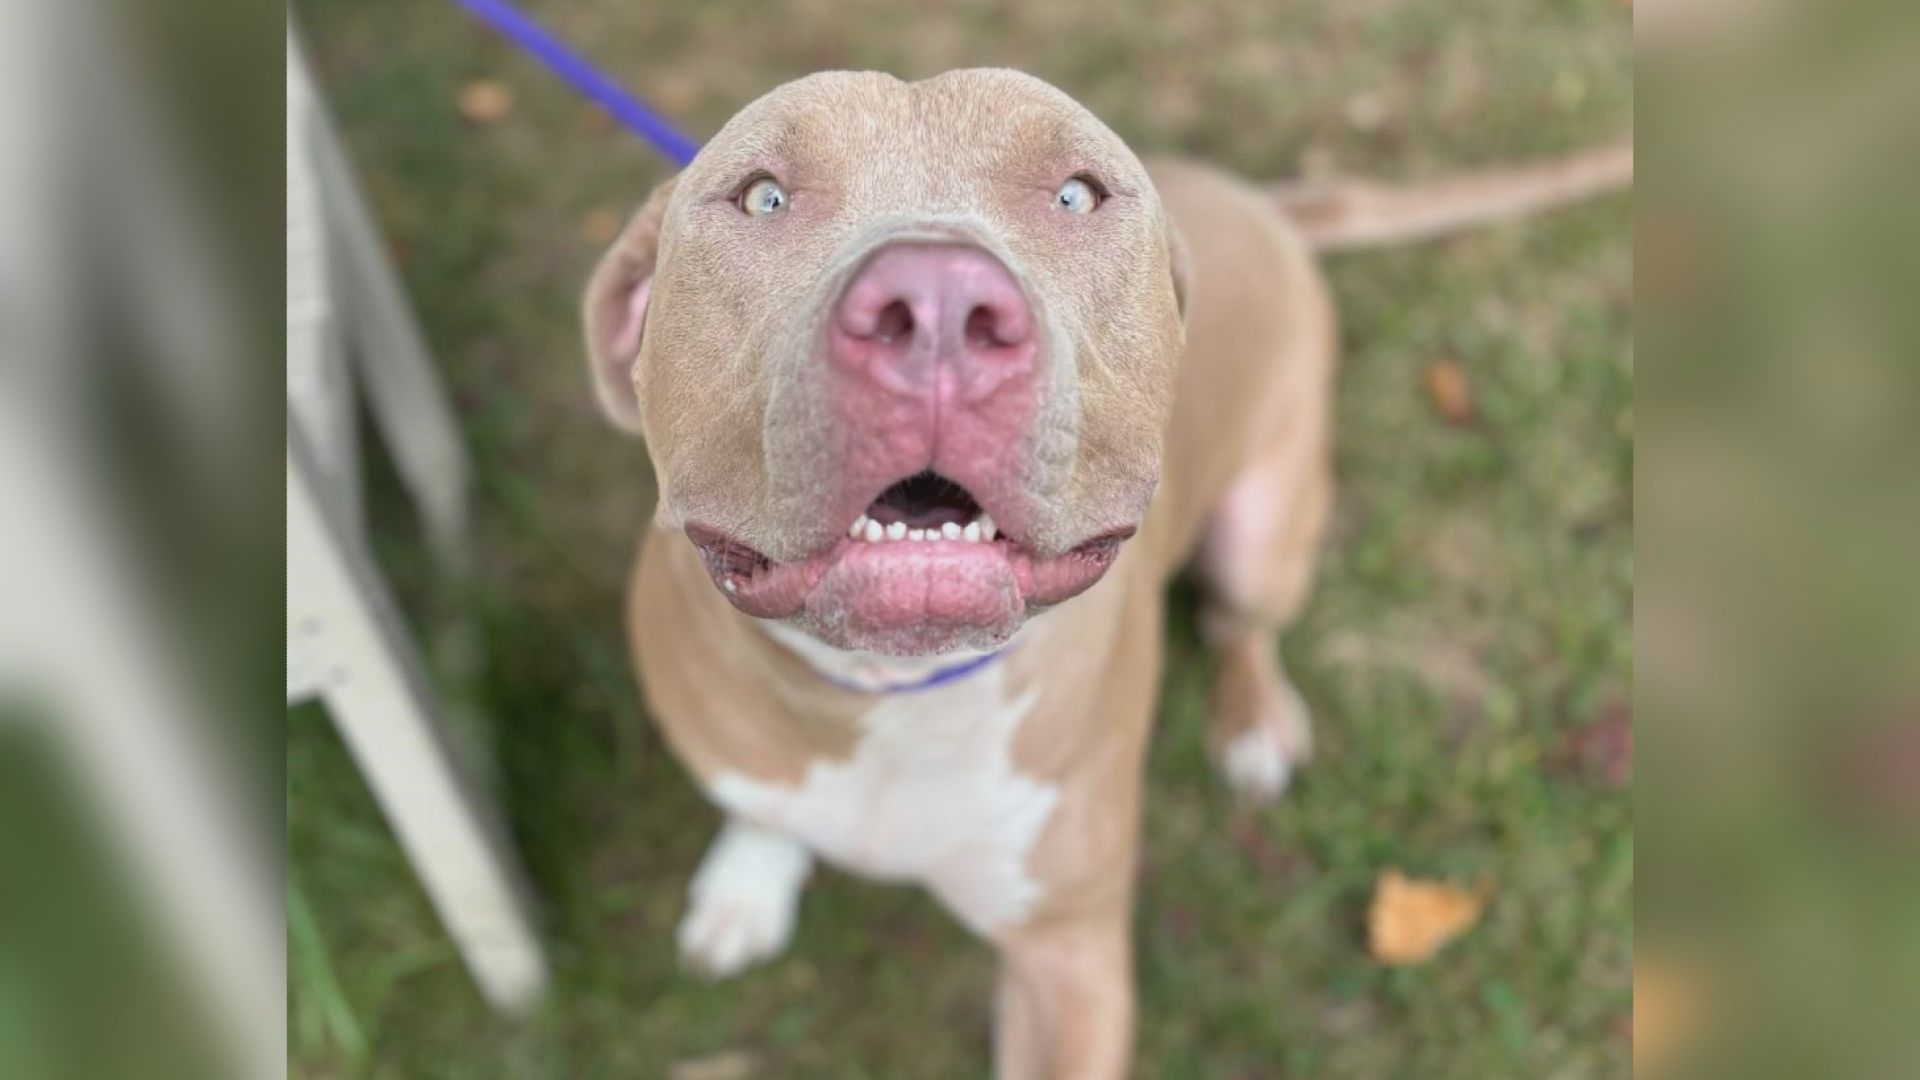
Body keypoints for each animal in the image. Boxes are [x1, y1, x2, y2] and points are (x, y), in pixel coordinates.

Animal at [583, 71, 1635, 1068]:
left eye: (1076, 194)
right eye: (762, 197)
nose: (936, 302)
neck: (891, 697)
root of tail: (1257, 199)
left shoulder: (1070, 960)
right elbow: (761, 806)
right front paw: (749, 881)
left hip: (1263, 529)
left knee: (1244, 626)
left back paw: (1254, 721)